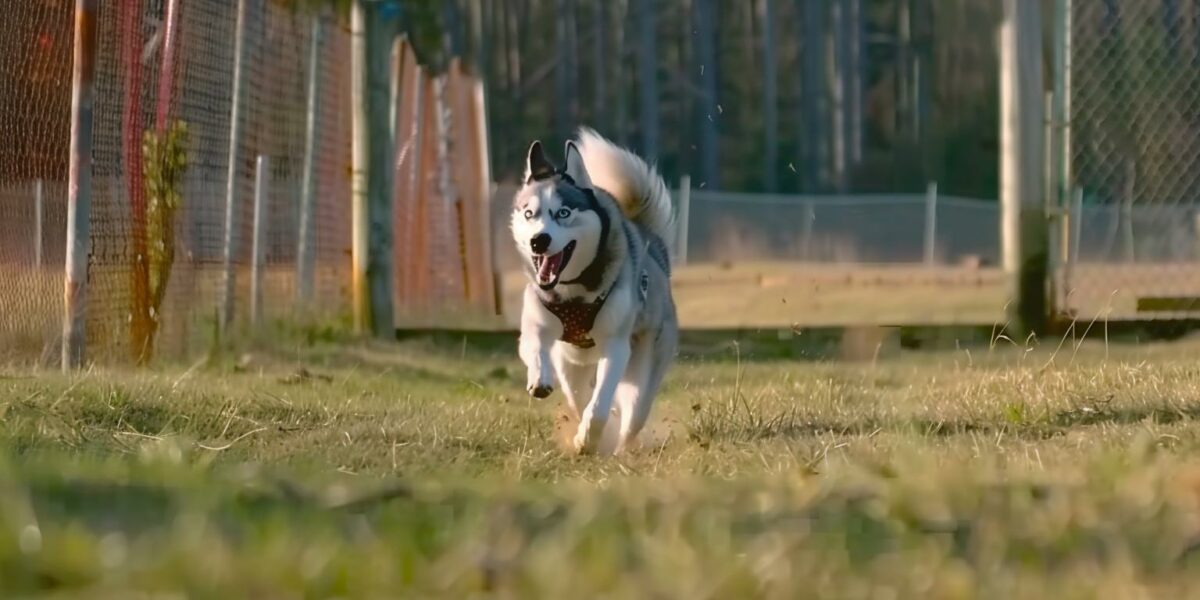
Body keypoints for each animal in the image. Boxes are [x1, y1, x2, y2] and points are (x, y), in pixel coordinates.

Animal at [511, 127, 681, 453]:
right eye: (529, 214)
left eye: (563, 213)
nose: (539, 240)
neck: (573, 292)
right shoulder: (536, 326)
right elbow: (537, 349)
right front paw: (539, 379)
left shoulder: (616, 346)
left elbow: (600, 405)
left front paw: (587, 439)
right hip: (572, 367)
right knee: (578, 395)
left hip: (643, 371)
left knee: (631, 415)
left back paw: (620, 447)